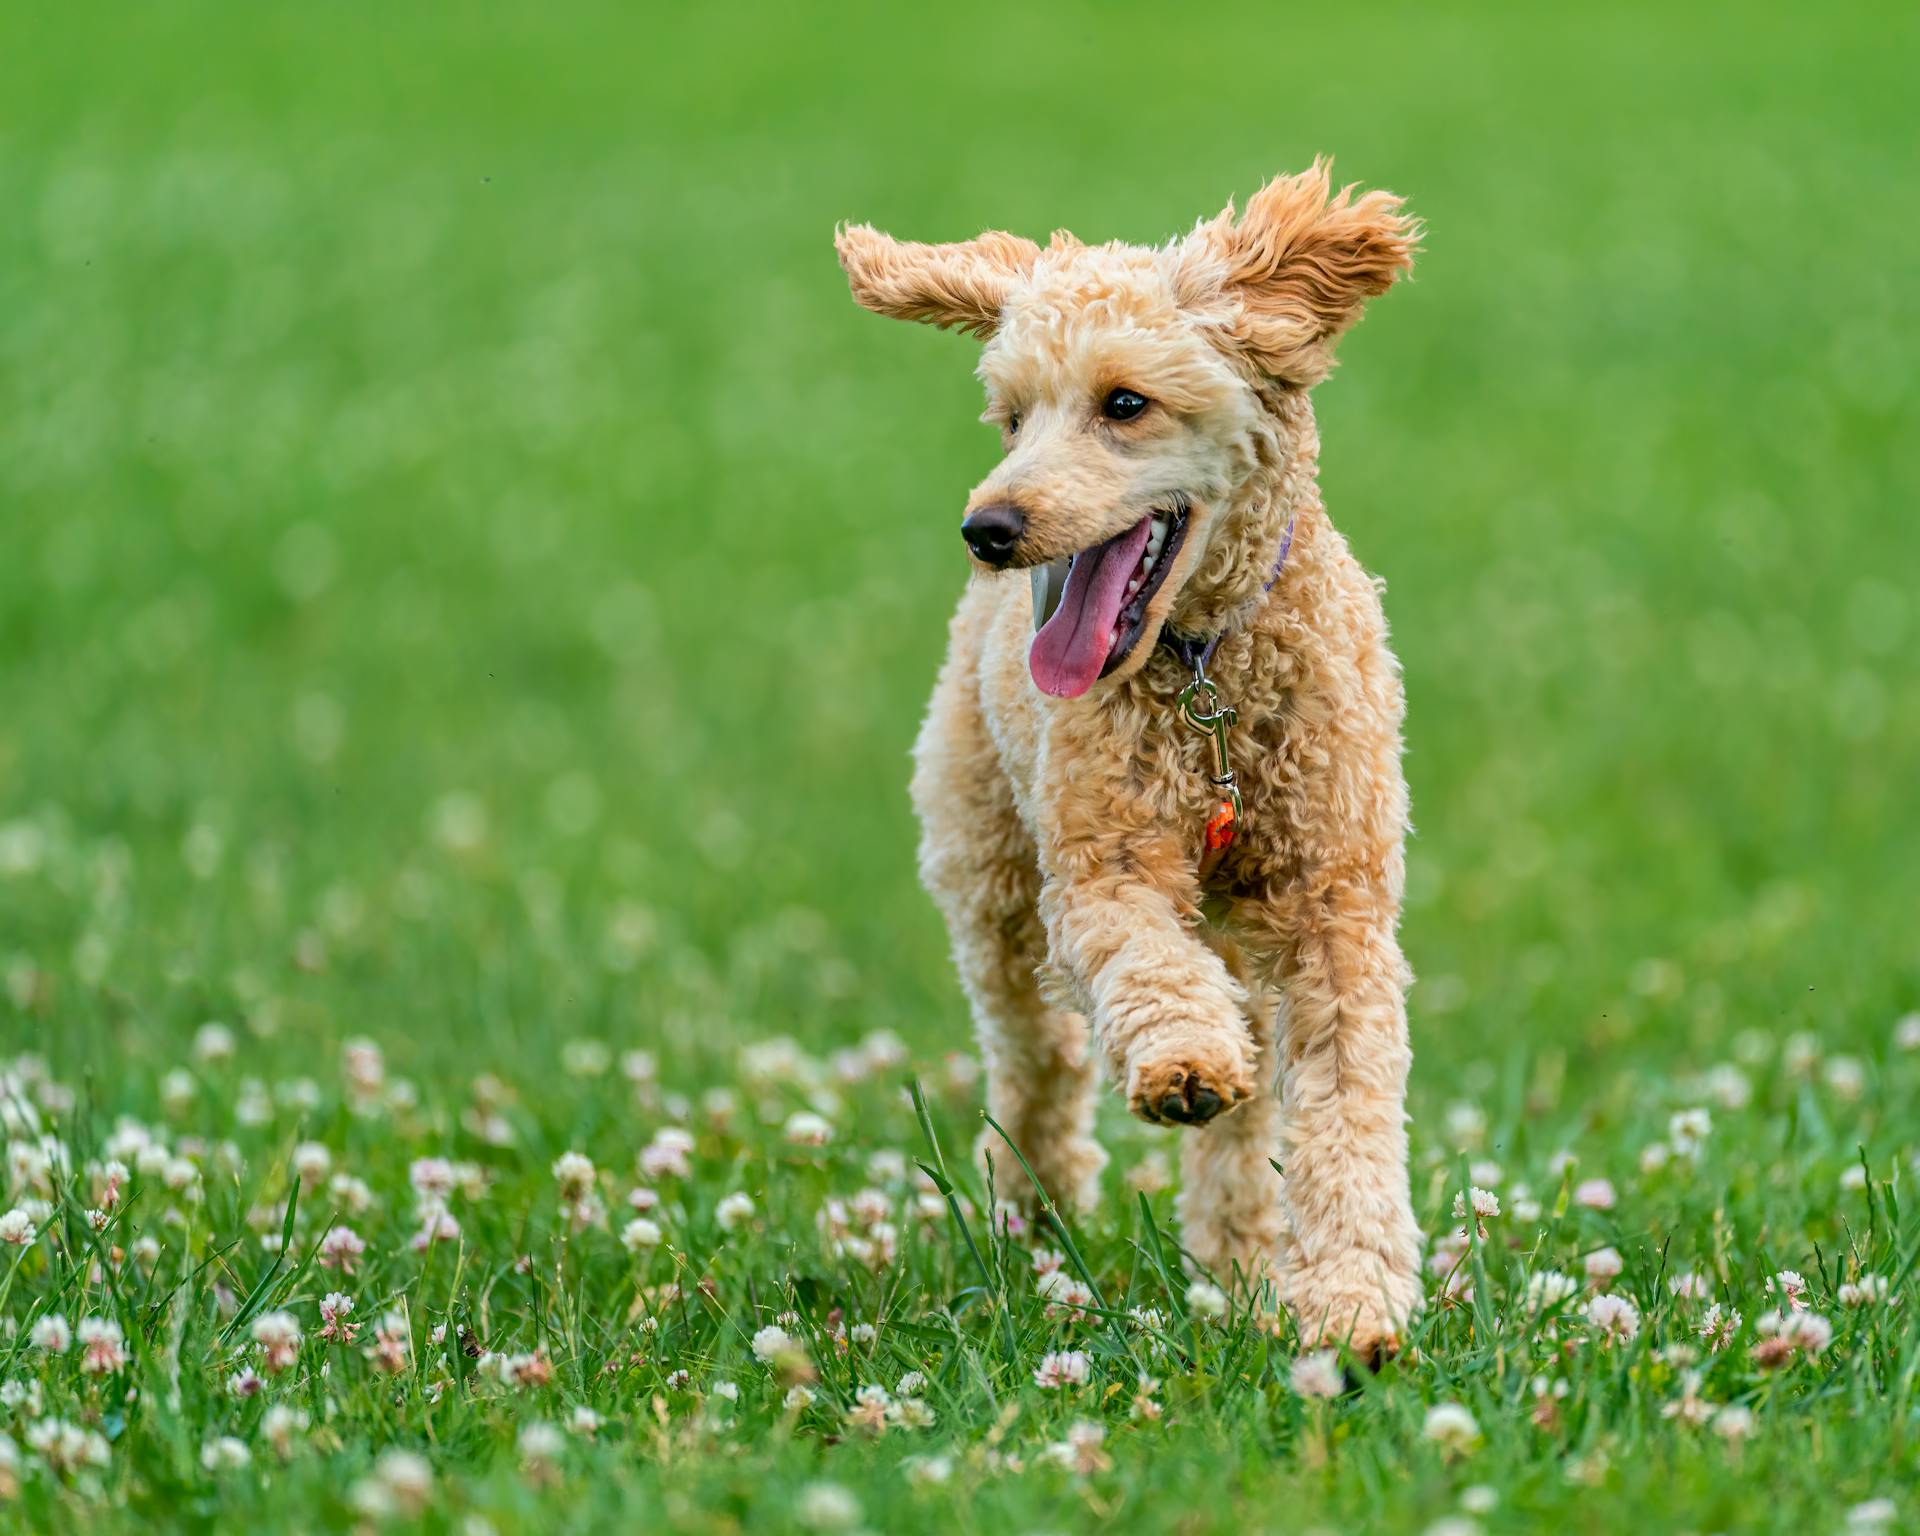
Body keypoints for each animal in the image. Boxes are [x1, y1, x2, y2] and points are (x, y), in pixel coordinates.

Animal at [837, 162, 1428, 1351]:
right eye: (1013, 415)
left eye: (1124, 403)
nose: (989, 528)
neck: (1205, 680)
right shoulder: (1102, 867)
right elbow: (1145, 966)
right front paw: (1182, 1065)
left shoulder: (1332, 904)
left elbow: (1347, 1101)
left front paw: (1350, 1299)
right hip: (991, 876)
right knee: (1039, 1059)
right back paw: (1035, 1210)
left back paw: (1239, 1258)